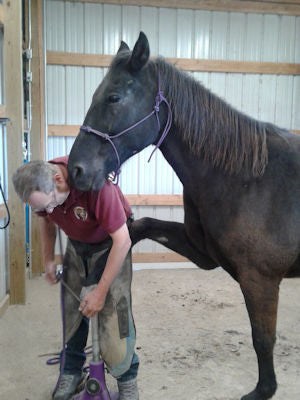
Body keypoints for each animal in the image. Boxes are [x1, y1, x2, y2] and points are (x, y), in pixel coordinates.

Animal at [68, 32, 300, 400]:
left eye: (114, 97)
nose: (76, 170)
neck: (247, 178)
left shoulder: (260, 279)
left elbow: (263, 340)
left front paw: (263, 389)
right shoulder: (202, 253)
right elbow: (140, 226)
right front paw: (96, 262)